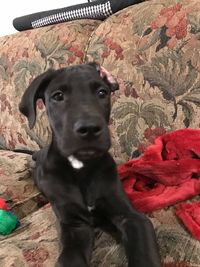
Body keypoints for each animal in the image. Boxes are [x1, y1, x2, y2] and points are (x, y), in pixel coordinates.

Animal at [19, 63, 161, 267]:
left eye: (102, 92)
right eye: (58, 96)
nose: (89, 129)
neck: (80, 166)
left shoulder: (132, 217)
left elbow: (144, 252)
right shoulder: (75, 226)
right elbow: (70, 258)